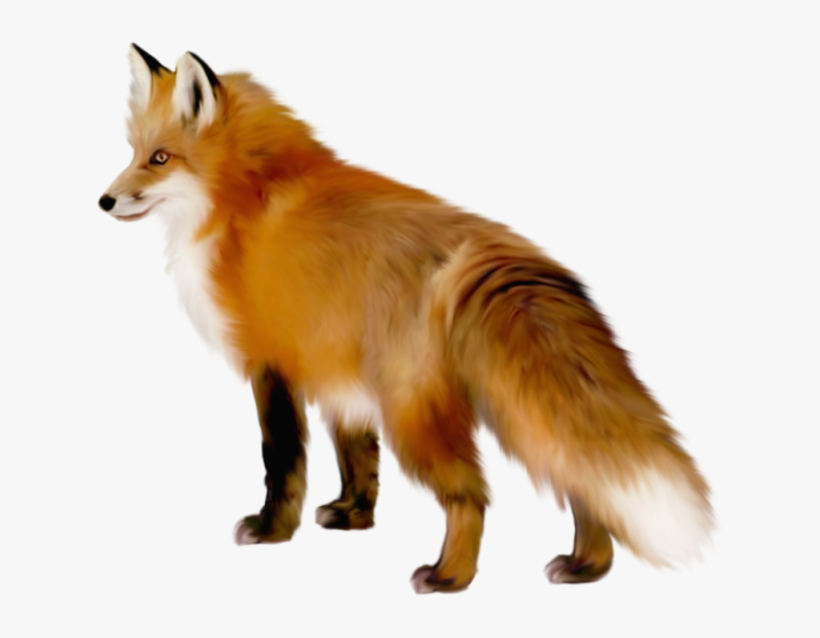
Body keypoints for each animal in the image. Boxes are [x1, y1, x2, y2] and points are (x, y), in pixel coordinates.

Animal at [99, 44, 714, 593]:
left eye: (160, 158)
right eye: (131, 151)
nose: (103, 201)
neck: (246, 196)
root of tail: (502, 255)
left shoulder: (271, 362)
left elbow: (282, 461)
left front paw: (272, 530)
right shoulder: (338, 374)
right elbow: (357, 458)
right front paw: (353, 516)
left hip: (413, 412)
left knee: (473, 495)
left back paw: (449, 577)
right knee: (579, 480)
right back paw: (587, 567)